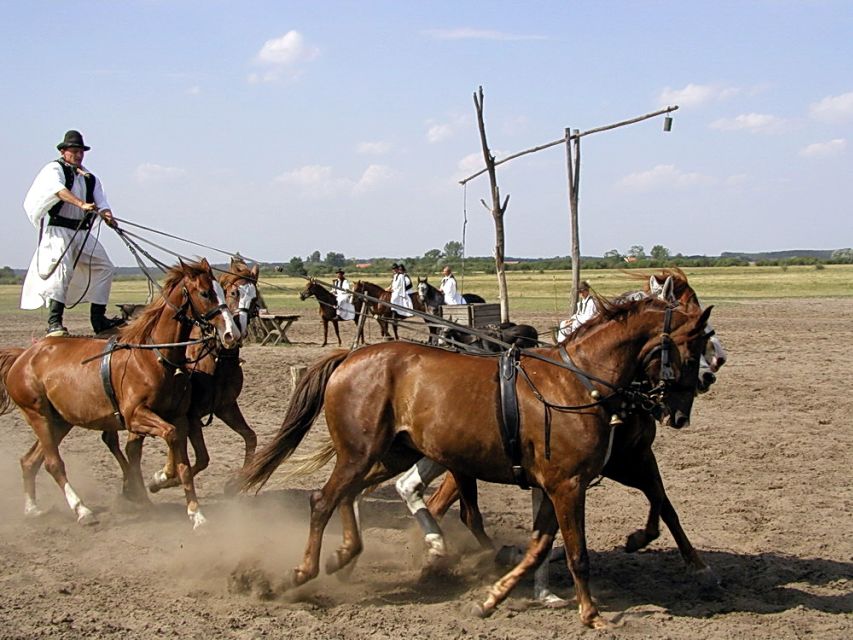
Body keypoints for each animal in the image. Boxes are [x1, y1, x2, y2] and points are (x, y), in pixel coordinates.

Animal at [0, 259, 240, 530]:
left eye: (222, 292)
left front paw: (195, 513)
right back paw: (82, 509)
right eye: (205, 293)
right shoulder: (135, 415)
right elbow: (169, 436)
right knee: (53, 463)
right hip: (37, 415)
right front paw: (161, 476)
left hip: (60, 421)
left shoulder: (179, 416)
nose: (231, 334)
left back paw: (32, 508)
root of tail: (22, 356)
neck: (154, 356)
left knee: (30, 461)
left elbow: (183, 461)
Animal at [241, 298, 713, 628]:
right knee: (323, 500)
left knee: (352, 495)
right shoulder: (568, 485)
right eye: (691, 354)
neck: (578, 383)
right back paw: (304, 572)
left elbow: (540, 546)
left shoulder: (558, 484)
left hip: (391, 454)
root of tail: (350, 358)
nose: (679, 413)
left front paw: (494, 597)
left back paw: (348, 554)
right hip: (362, 454)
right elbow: (576, 553)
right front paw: (592, 614)